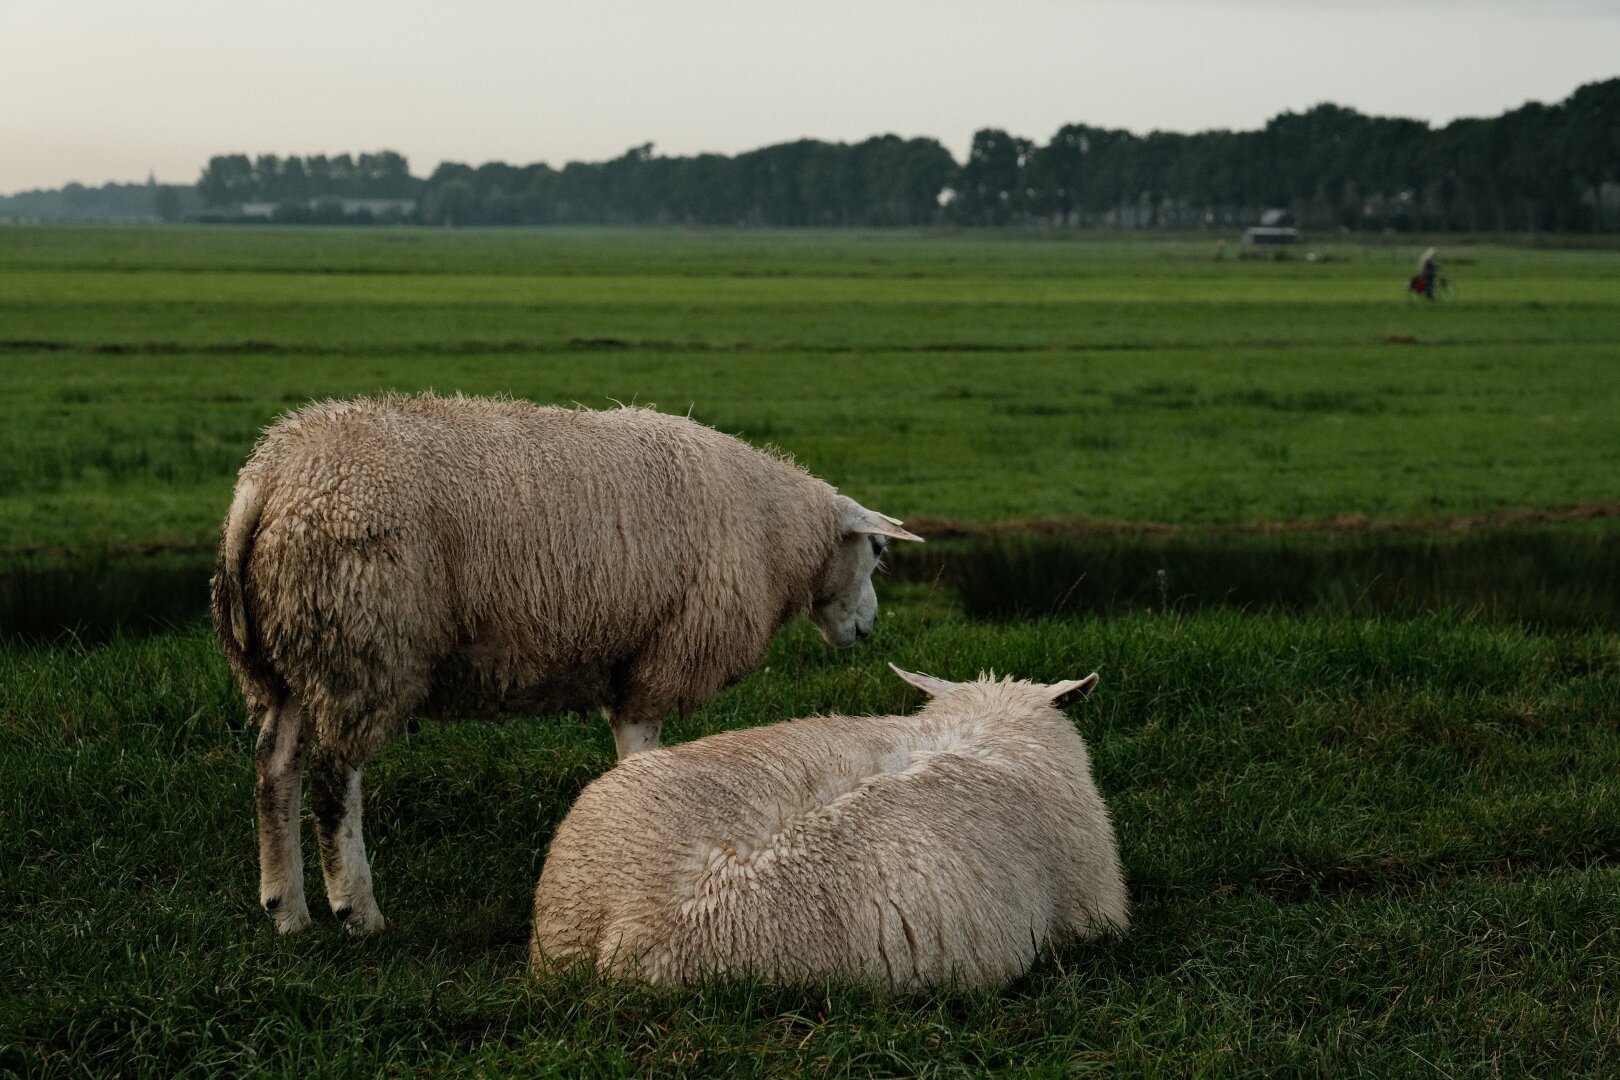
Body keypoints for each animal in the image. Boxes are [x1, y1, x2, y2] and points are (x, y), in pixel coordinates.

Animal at [212, 393, 926, 932]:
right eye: (877, 553)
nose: (868, 628)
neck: (775, 531)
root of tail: (267, 480)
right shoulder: (658, 661)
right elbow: (641, 756)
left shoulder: (629, 660)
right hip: (362, 644)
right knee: (334, 779)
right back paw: (357, 911)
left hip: (291, 655)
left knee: (276, 766)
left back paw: (287, 908)